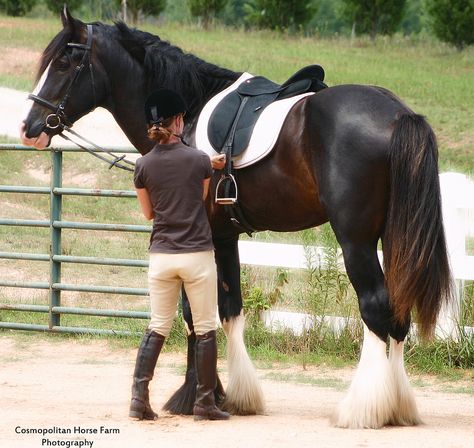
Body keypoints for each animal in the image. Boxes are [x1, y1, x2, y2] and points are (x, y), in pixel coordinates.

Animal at [21, 9, 452, 428]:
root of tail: (398, 115)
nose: (30, 127)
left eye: (64, 62)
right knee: (398, 312)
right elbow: (228, 310)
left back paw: (364, 409)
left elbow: (194, 314)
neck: (189, 112)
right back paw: (398, 407)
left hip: (356, 242)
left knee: (377, 309)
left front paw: (190, 398)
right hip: (394, 240)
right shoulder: (224, 237)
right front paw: (230, 396)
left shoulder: (198, 238)